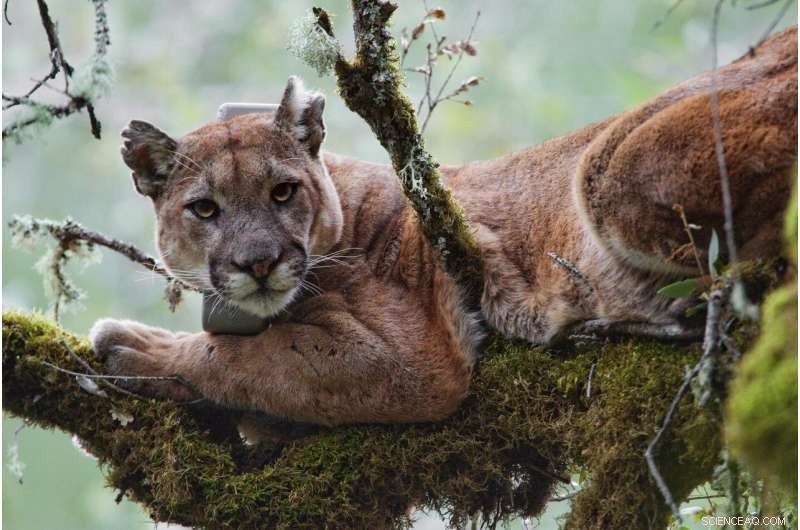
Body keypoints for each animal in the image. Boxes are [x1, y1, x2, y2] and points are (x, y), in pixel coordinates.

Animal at [91, 27, 797, 426]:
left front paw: (134, 348)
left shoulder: (411, 357)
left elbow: (246, 359)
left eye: (282, 192)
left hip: (611, 168)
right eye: (205, 209)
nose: (258, 262)